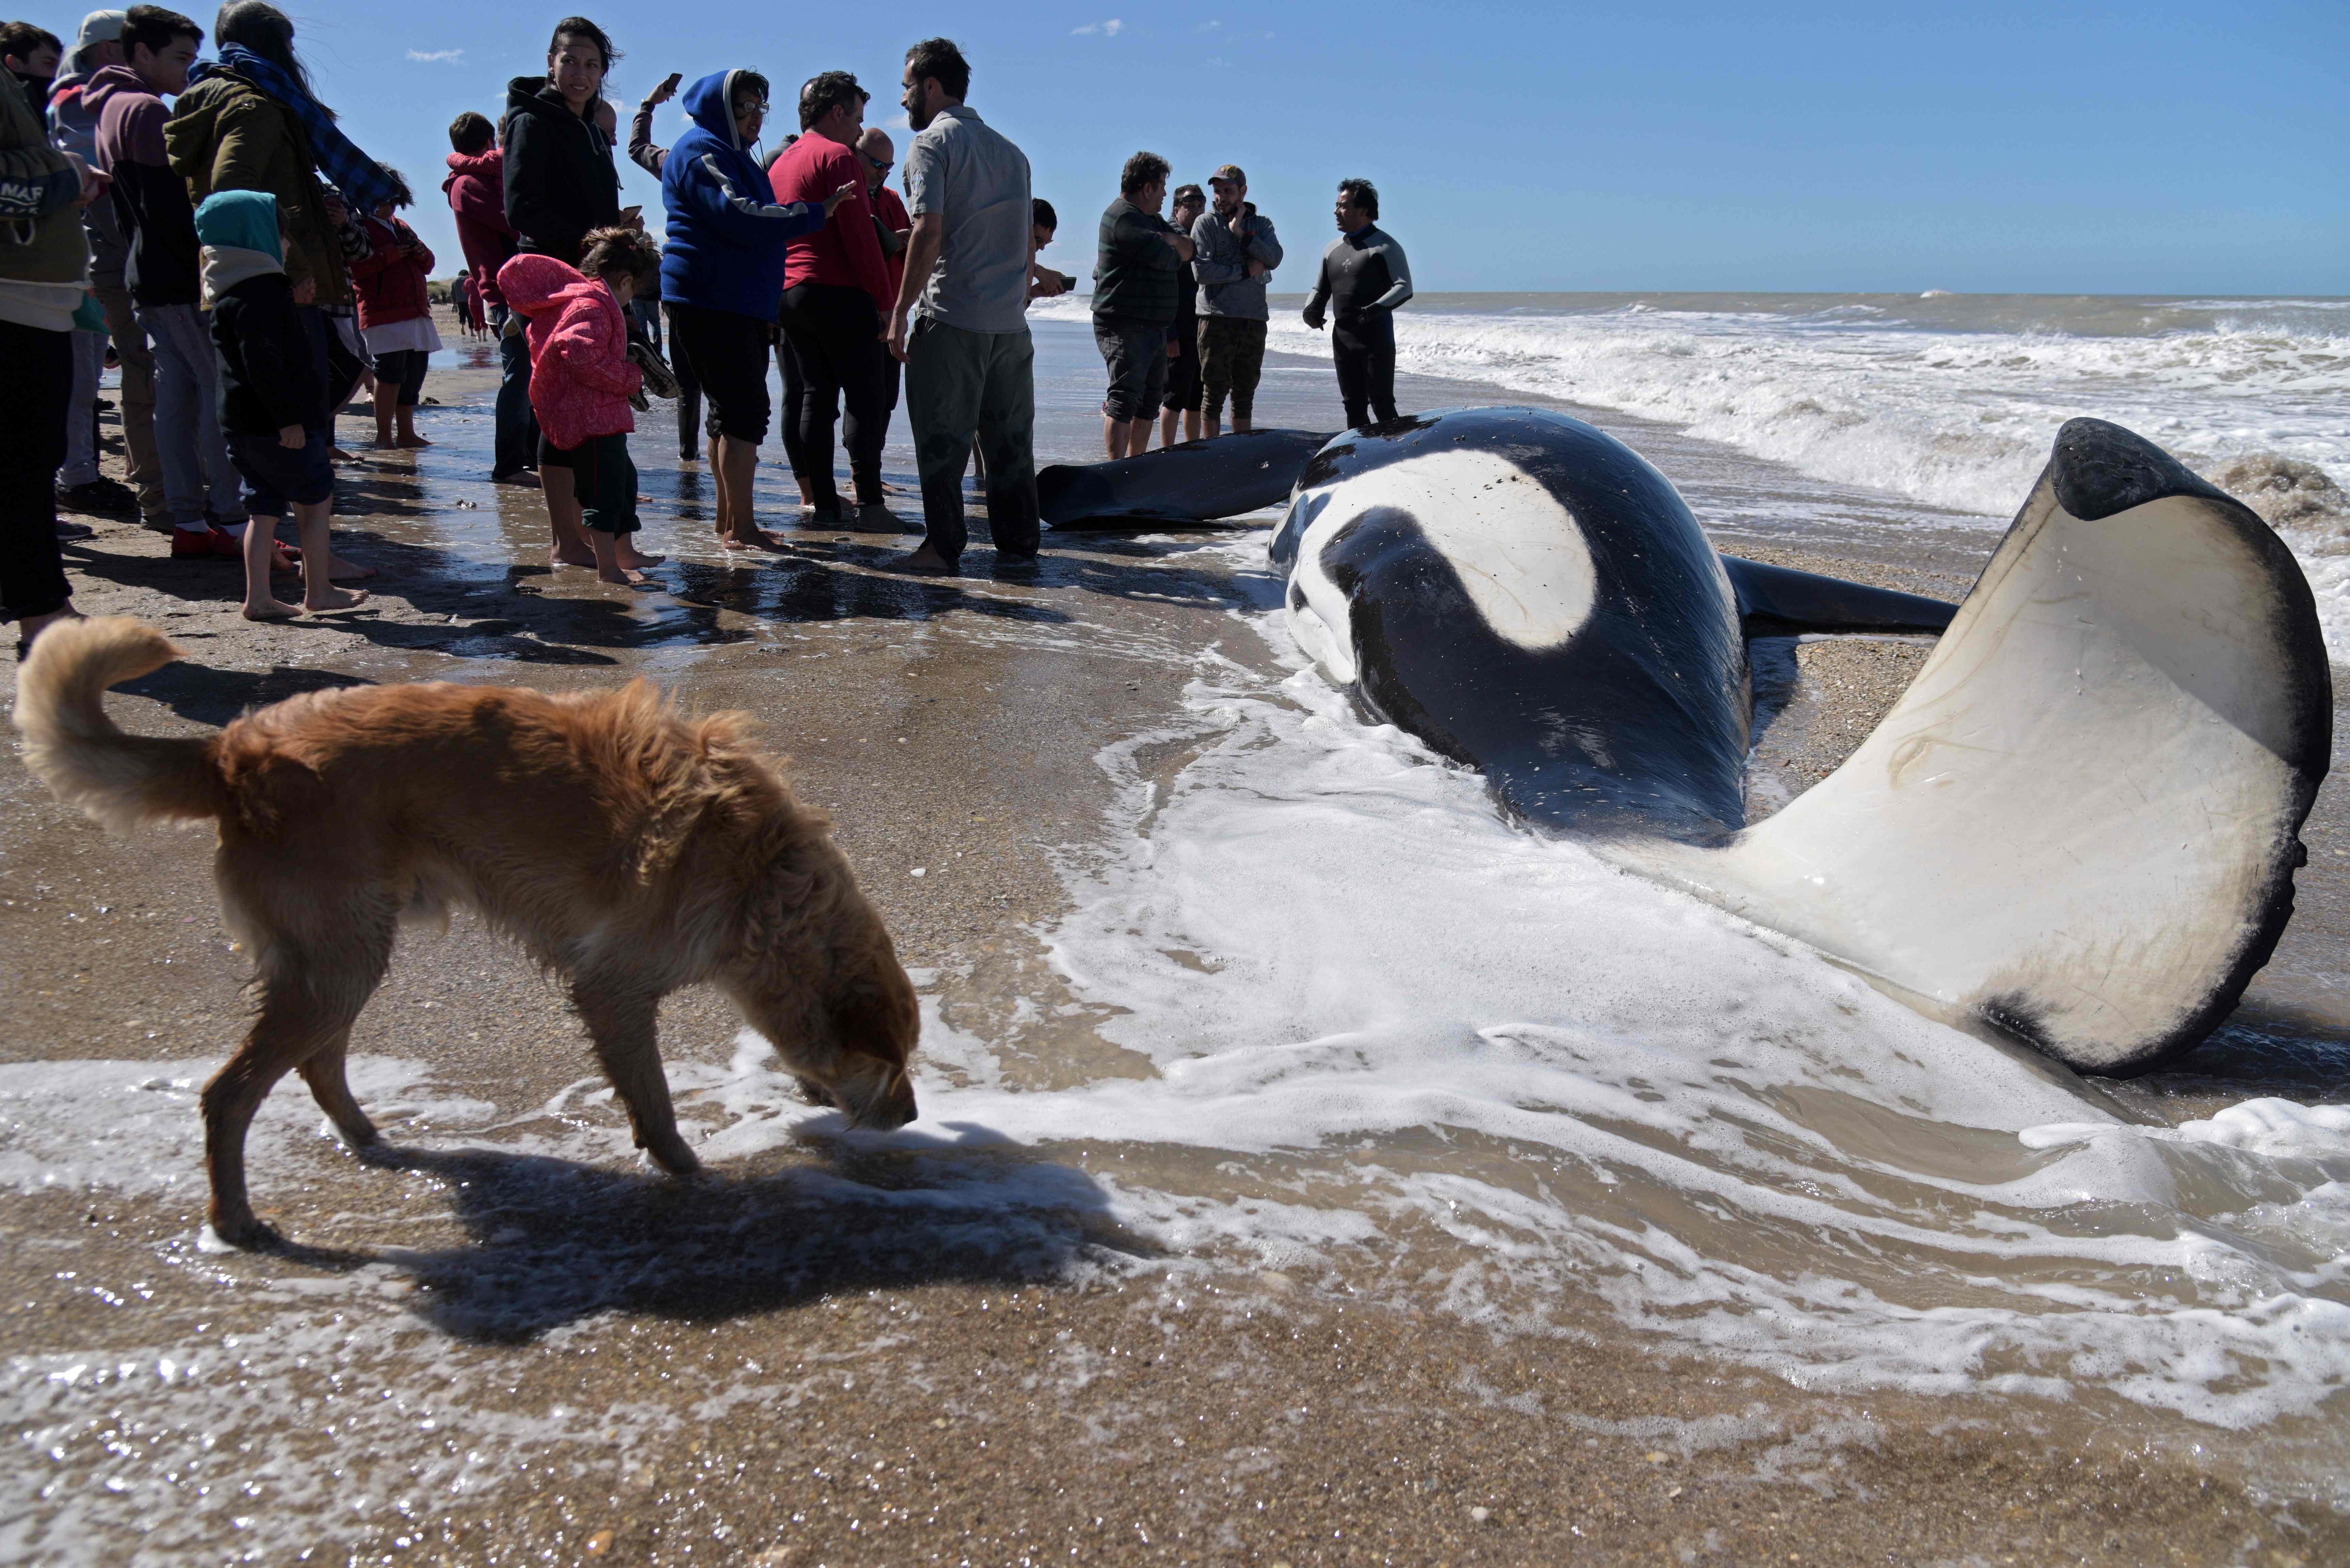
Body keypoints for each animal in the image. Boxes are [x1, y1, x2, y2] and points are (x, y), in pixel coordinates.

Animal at [14, 621, 921, 1241]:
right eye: (894, 1065)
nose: (913, 1117)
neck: (764, 878)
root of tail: (232, 752)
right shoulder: (613, 990)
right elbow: (655, 1102)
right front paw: (687, 1170)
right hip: (341, 958)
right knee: (230, 1093)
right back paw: (235, 1218)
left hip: (342, 958)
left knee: (316, 1063)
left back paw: (366, 1139)